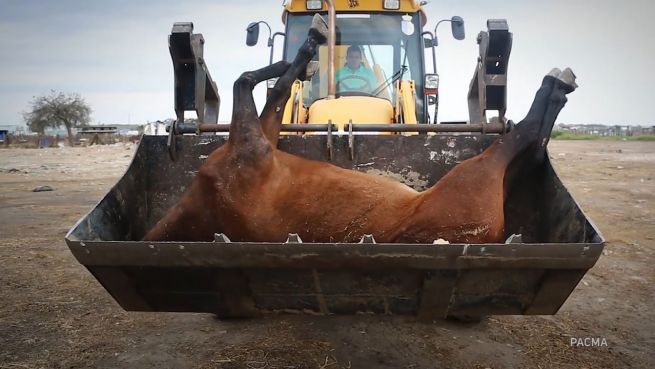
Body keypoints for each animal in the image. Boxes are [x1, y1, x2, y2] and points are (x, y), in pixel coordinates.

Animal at [144, 15, 576, 244]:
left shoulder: (261, 141)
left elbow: (268, 88)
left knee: (533, 147)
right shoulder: (253, 145)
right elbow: (257, 83)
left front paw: (306, 53)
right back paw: (556, 83)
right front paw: (308, 49)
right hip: (477, 173)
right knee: (525, 138)